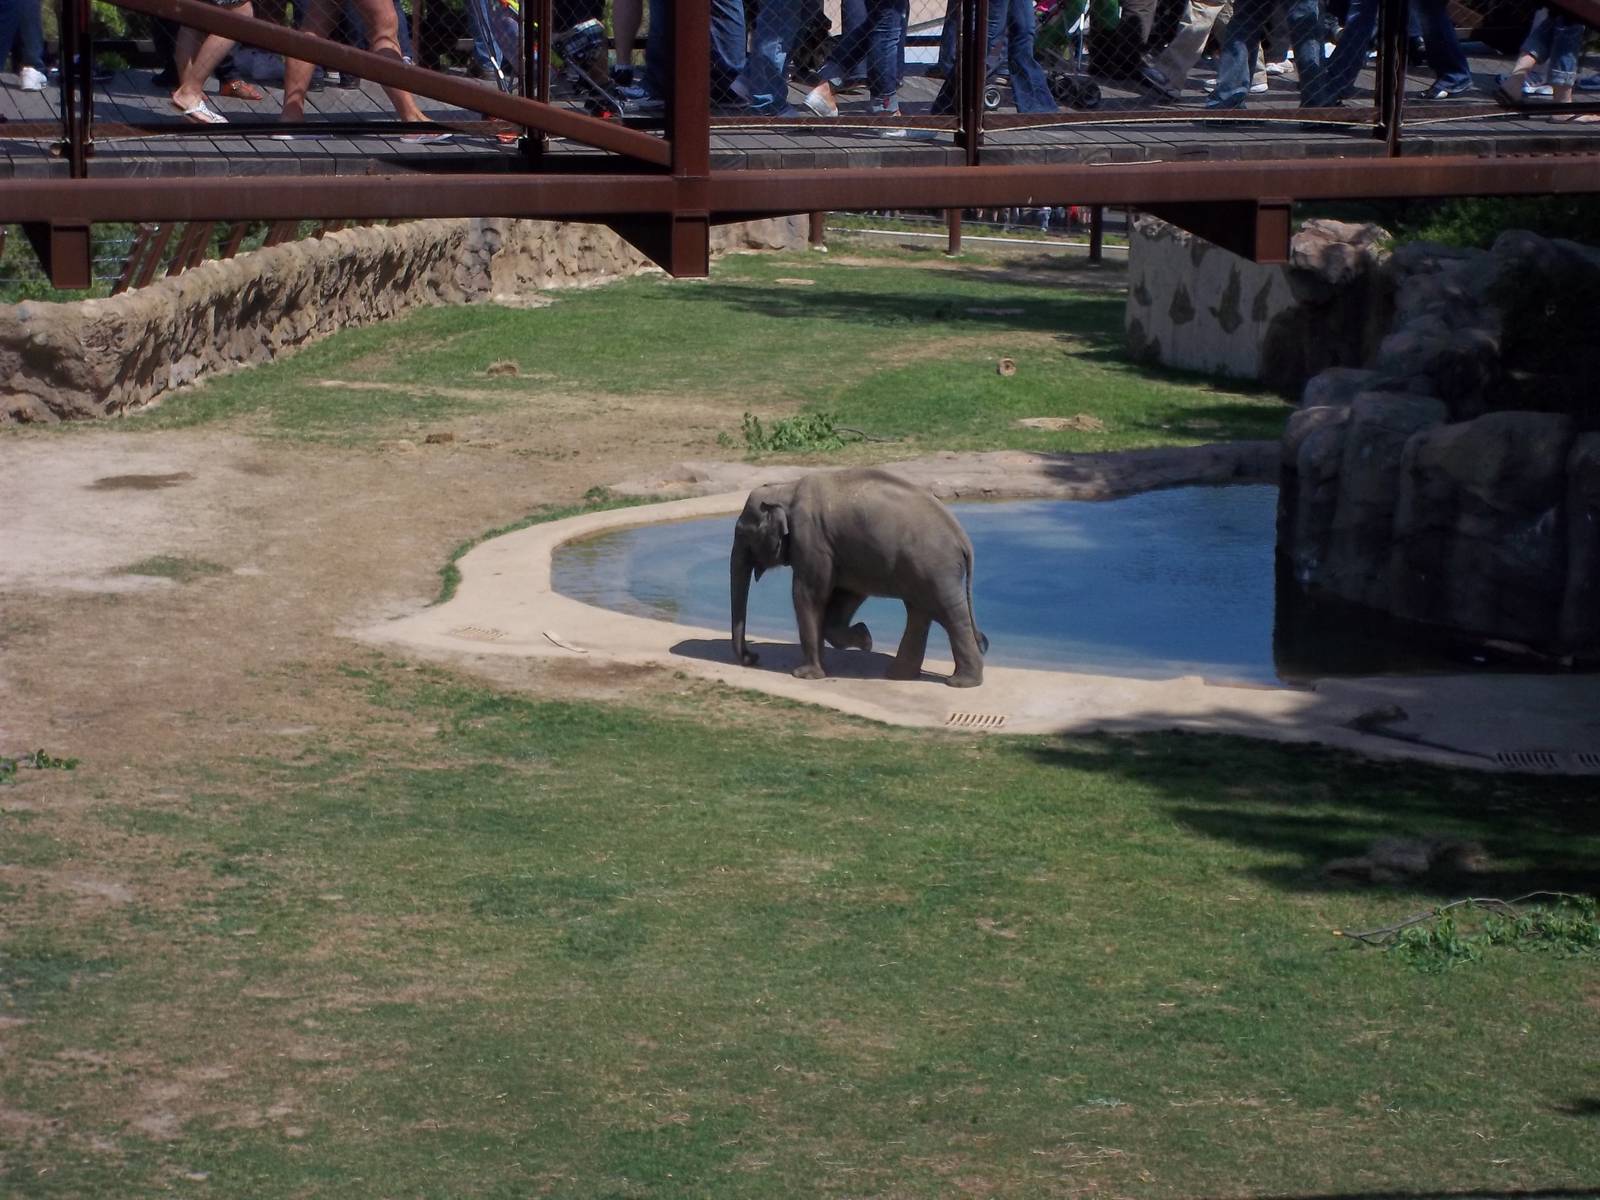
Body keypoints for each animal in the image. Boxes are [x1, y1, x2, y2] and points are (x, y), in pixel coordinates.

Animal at [729, 468, 989, 687]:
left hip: (935, 569)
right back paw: (898, 675)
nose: (753, 657)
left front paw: (806, 675)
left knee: (948, 614)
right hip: (922, 570)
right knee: (920, 612)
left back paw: (960, 682)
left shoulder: (812, 540)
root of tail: (963, 539)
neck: (785, 489)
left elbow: (808, 595)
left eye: (742, 533)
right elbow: (844, 595)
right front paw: (865, 639)